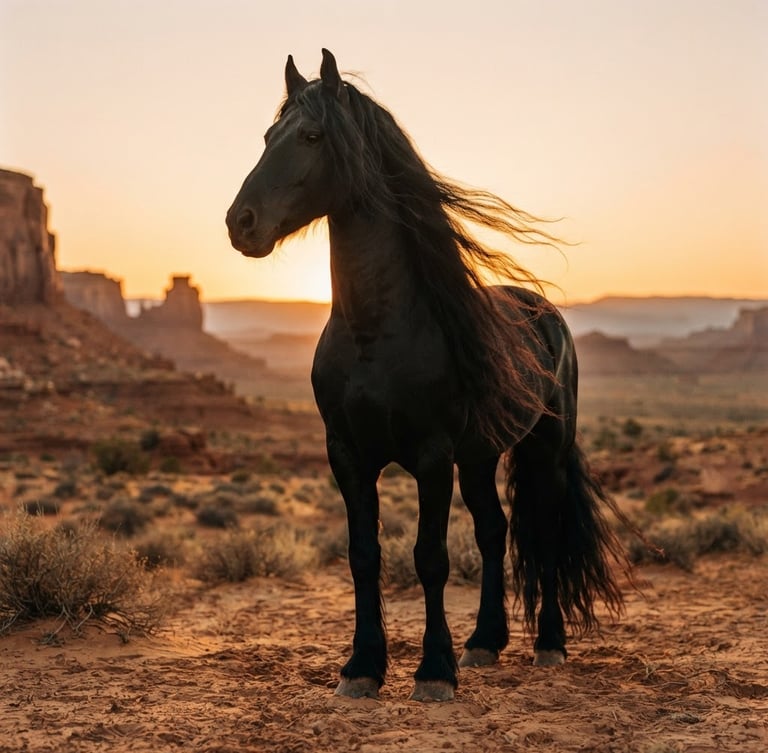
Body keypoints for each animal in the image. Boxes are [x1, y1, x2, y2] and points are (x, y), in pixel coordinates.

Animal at [226, 49, 630, 702]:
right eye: (267, 136)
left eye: (312, 136)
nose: (241, 223)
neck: (375, 334)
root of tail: (545, 315)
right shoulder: (347, 455)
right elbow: (364, 555)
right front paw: (362, 667)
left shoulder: (433, 455)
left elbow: (430, 557)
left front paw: (434, 670)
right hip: (482, 457)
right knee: (494, 530)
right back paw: (485, 642)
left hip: (542, 448)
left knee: (542, 531)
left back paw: (548, 643)